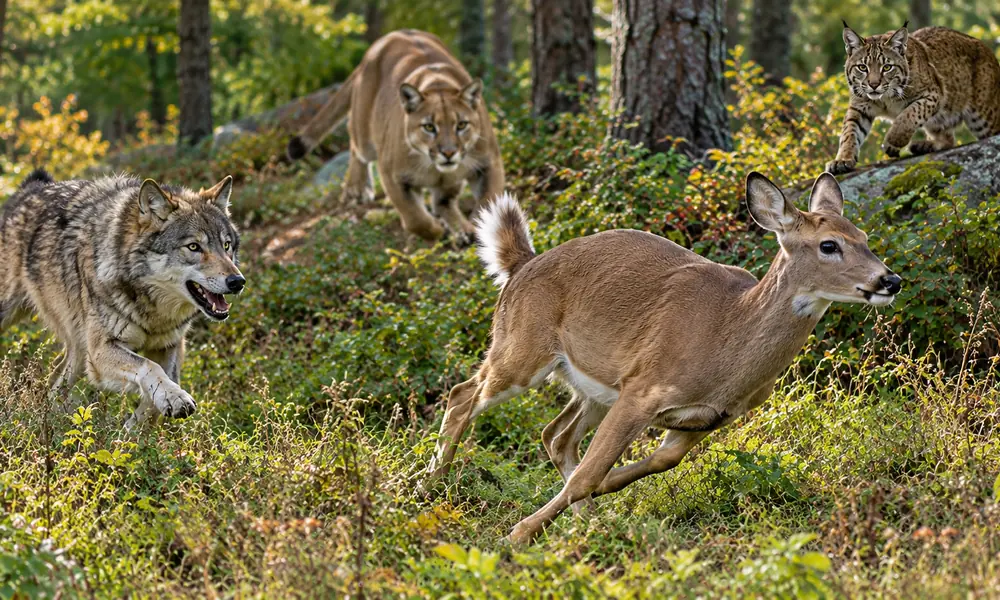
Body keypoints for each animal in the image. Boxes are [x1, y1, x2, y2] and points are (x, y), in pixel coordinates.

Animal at [0, 170, 245, 429]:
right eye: (194, 247)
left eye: (226, 245)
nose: (237, 281)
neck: (153, 310)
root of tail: (31, 188)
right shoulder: (101, 352)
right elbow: (150, 367)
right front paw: (173, 399)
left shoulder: (169, 346)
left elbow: (160, 390)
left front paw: (130, 432)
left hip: (80, 351)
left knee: (55, 380)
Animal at [287, 29, 506, 242]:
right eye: (429, 127)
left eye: (461, 125)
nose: (449, 153)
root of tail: (393, 34)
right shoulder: (391, 174)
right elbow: (414, 218)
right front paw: (437, 230)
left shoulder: (489, 162)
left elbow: (488, 199)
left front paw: (479, 228)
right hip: (365, 133)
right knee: (356, 145)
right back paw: (357, 188)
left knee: (441, 202)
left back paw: (462, 231)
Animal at [423, 171, 902, 545]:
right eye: (829, 245)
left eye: (864, 239)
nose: (890, 280)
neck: (726, 338)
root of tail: (521, 265)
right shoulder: (643, 388)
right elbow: (588, 474)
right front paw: (519, 533)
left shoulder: (706, 418)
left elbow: (653, 463)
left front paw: (598, 498)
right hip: (521, 348)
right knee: (463, 395)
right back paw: (429, 486)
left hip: (592, 388)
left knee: (555, 435)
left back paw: (588, 523)